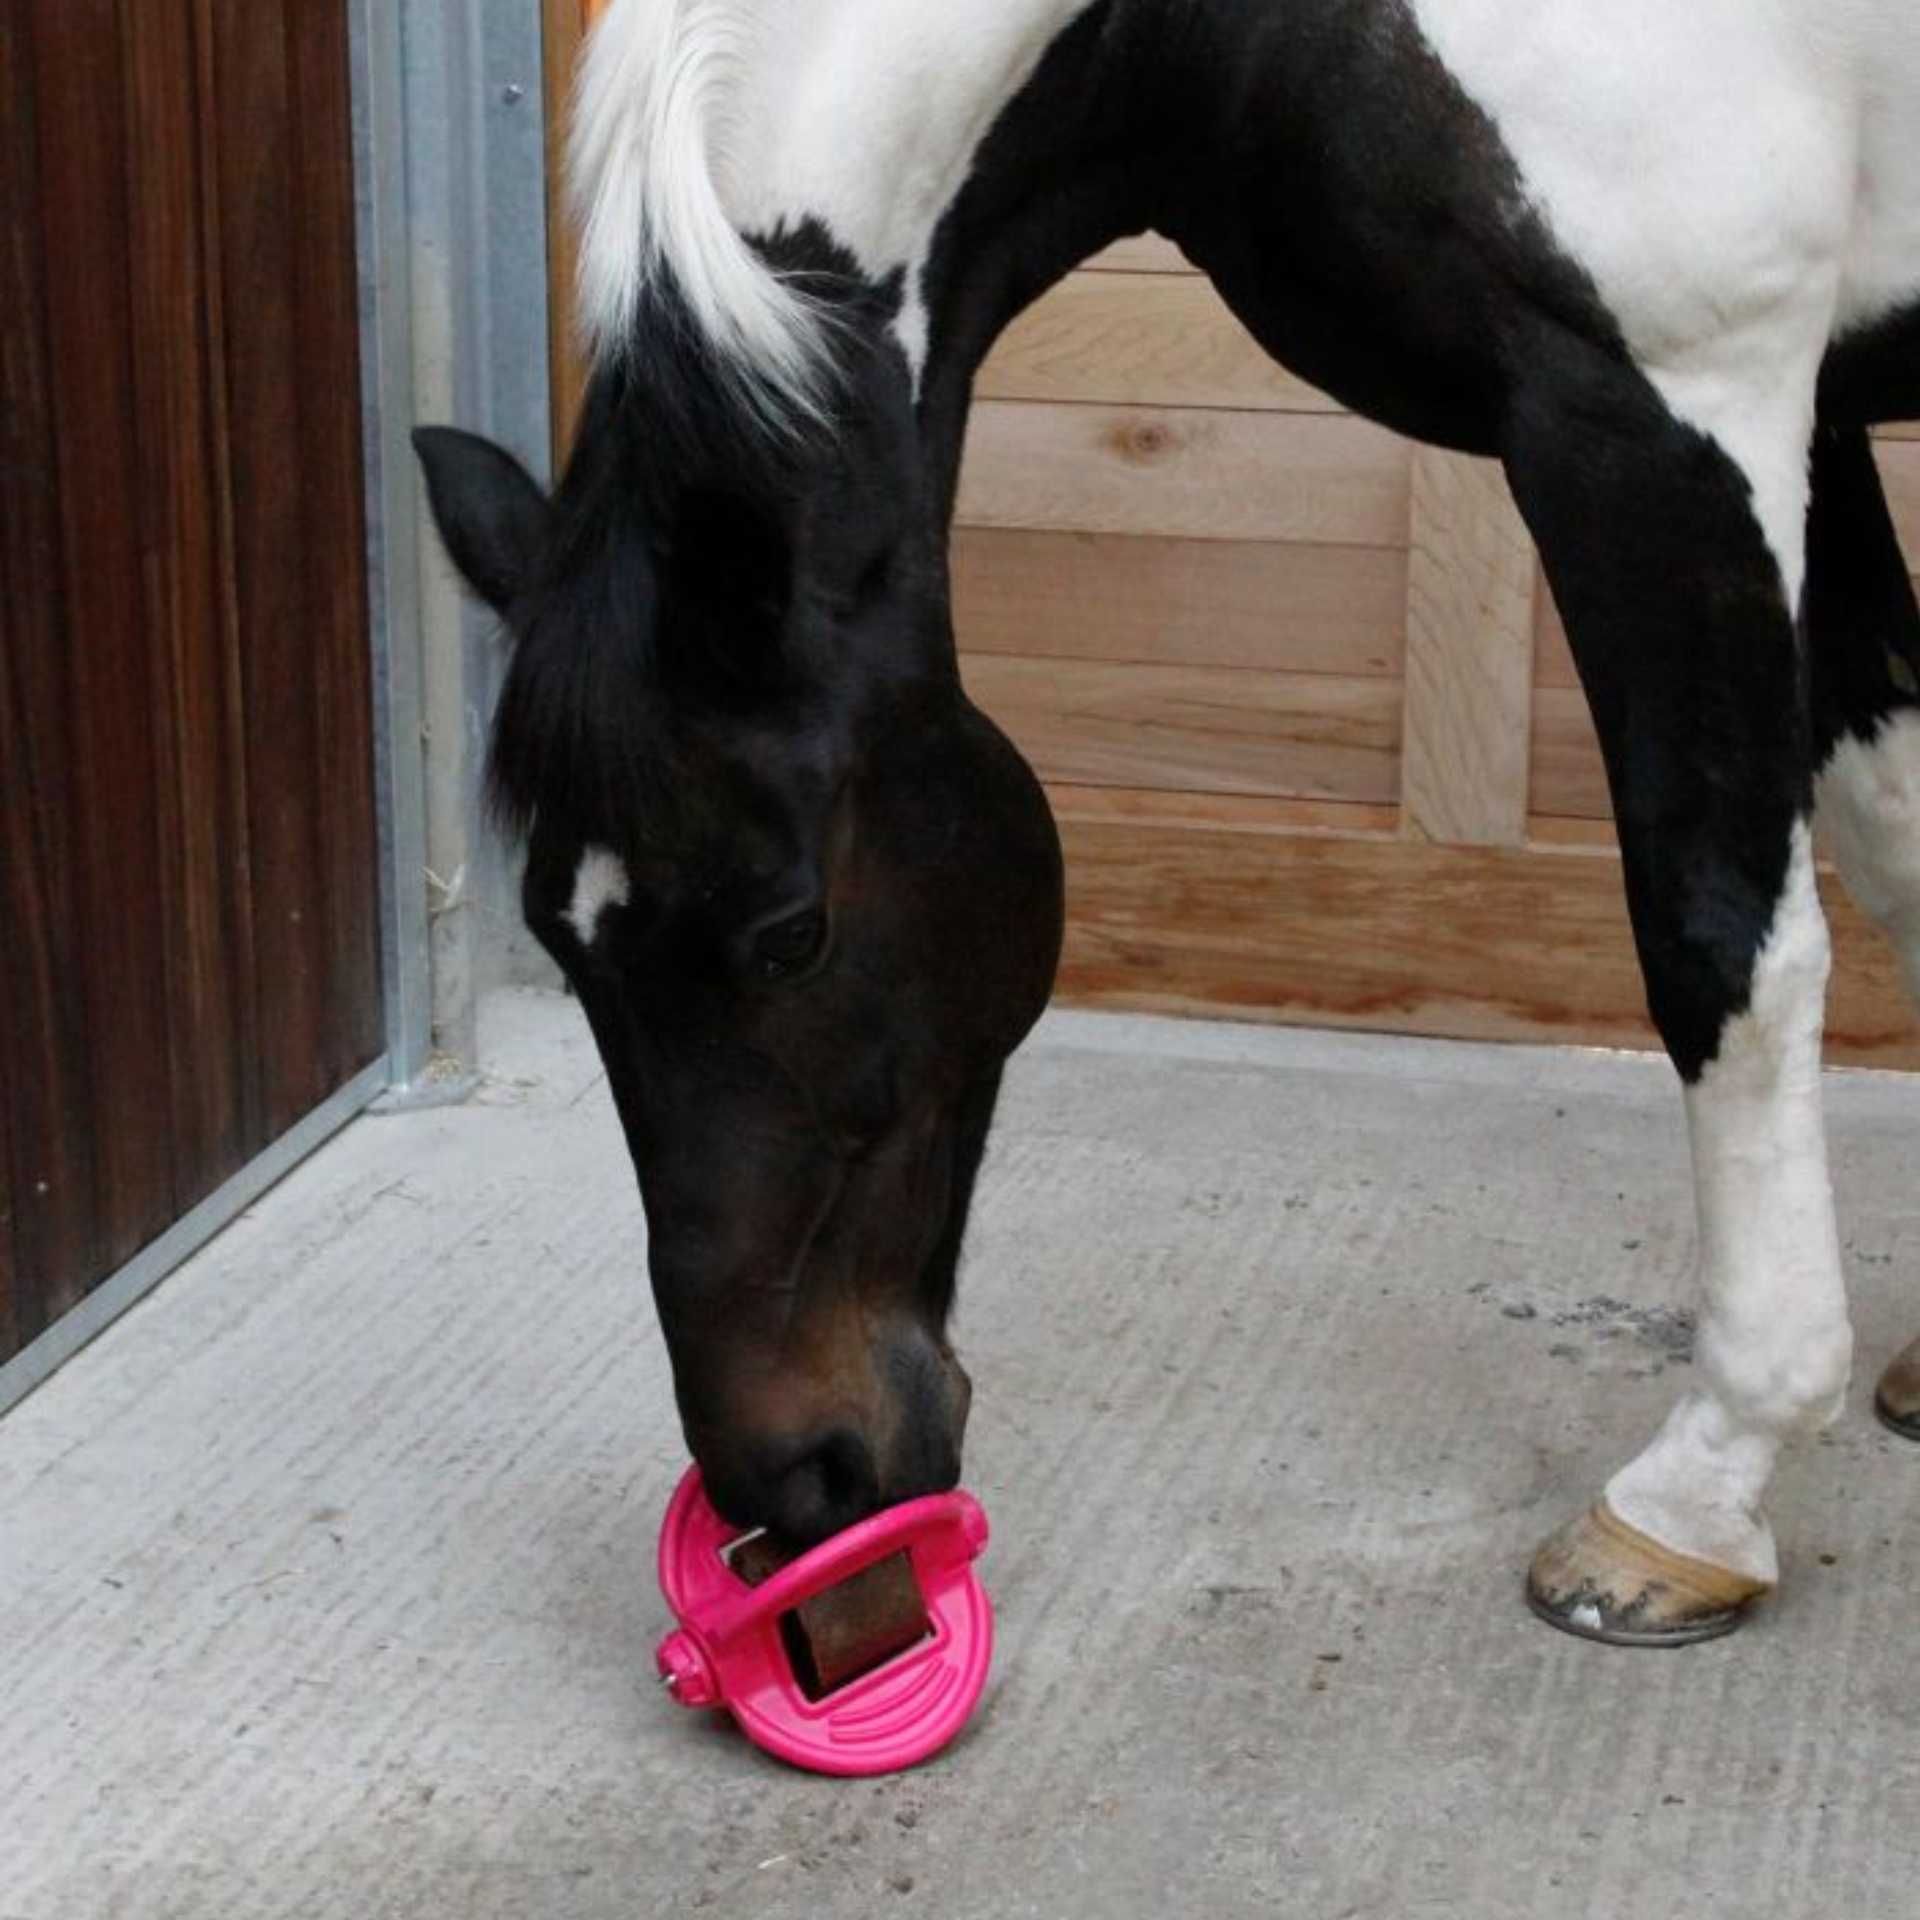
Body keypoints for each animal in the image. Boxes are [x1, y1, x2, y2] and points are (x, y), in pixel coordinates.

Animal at [413, 0, 1920, 1649]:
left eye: (790, 932)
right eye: (560, 938)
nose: (798, 1481)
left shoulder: (1679, 410)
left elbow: (1720, 940)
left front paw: (1701, 1490)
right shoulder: (1815, 414)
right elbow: (1897, 827)